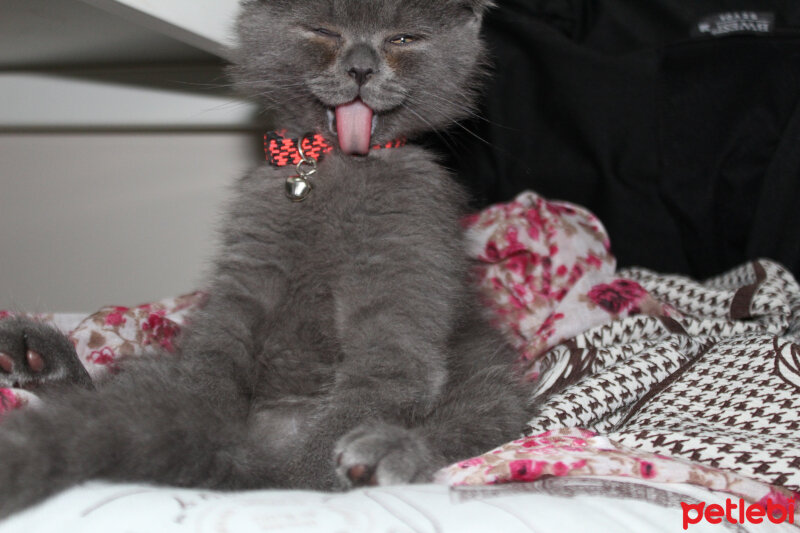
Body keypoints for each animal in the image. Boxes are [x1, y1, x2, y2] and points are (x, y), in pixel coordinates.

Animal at [0, 0, 532, 516]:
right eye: (324, 31)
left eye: (403, 38)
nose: (361, 67)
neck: (330, 167)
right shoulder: (246, 272)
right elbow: (211, 362)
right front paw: (201, 422)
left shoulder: (408, 262)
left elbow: (384, 374)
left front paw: (309, 478)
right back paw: (37, 358)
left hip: (490, 375)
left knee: (471, 419)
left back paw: (383, 455)